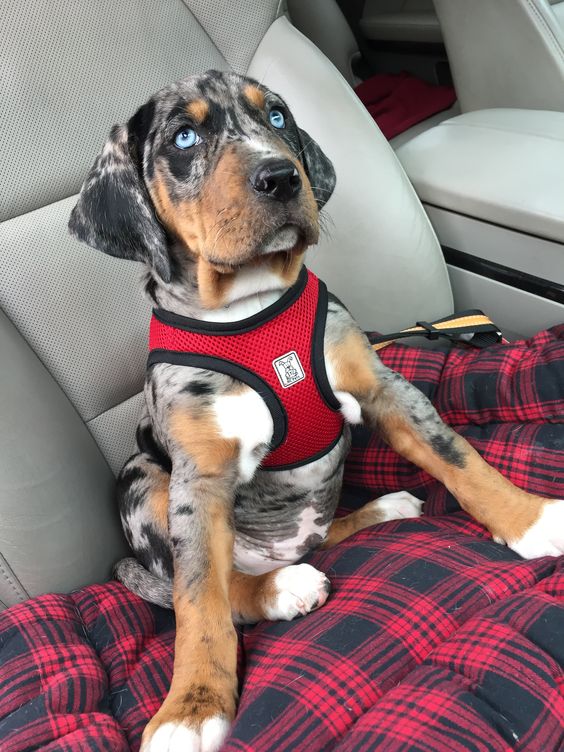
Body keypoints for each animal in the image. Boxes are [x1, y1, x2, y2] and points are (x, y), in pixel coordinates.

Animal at [67, 70, 564, 752]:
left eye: (277, 116)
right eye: (184, 138)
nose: (280, 176)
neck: (250, 309)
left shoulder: (384, 388)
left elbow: (460, 458)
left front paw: (530, 520)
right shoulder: (200, 476)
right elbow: (200, 601)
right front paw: (191, 708)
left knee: (320, 537)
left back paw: (380, 511)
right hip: (143, 481)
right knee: (220, 587)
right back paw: (280, 590)